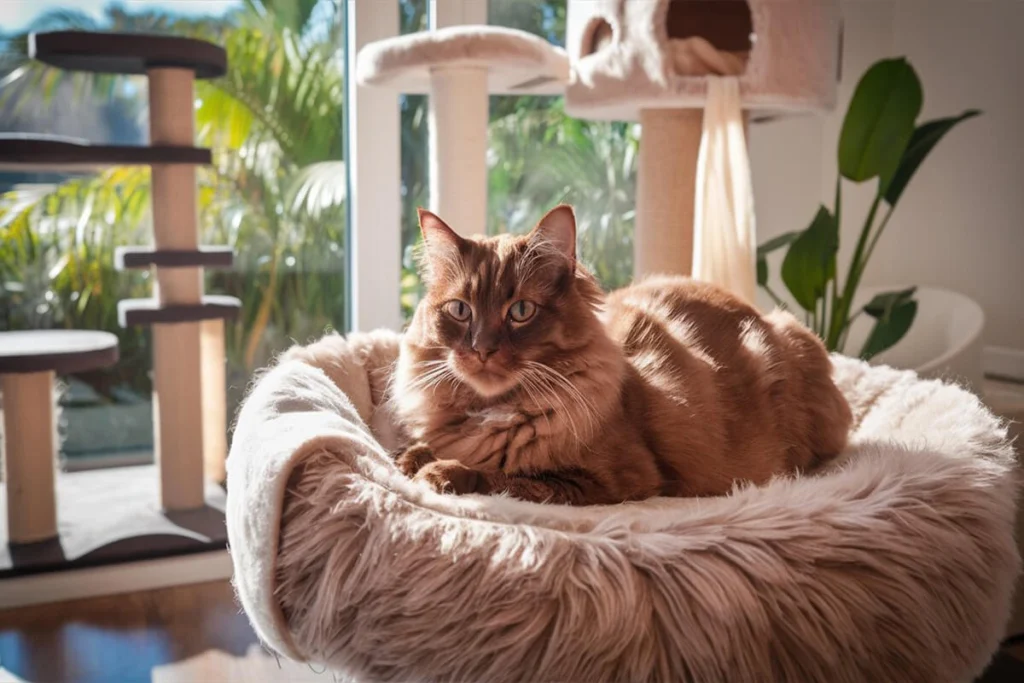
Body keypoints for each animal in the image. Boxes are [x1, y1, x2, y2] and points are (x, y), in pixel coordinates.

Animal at [387, 205, 851, 505]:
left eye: (520, 312)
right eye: (459, 310)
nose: (482, 349)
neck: (492, 411)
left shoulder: (609, 482)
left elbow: (503, 475)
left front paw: (440, 472)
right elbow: (417, 450)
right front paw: (411, 459)